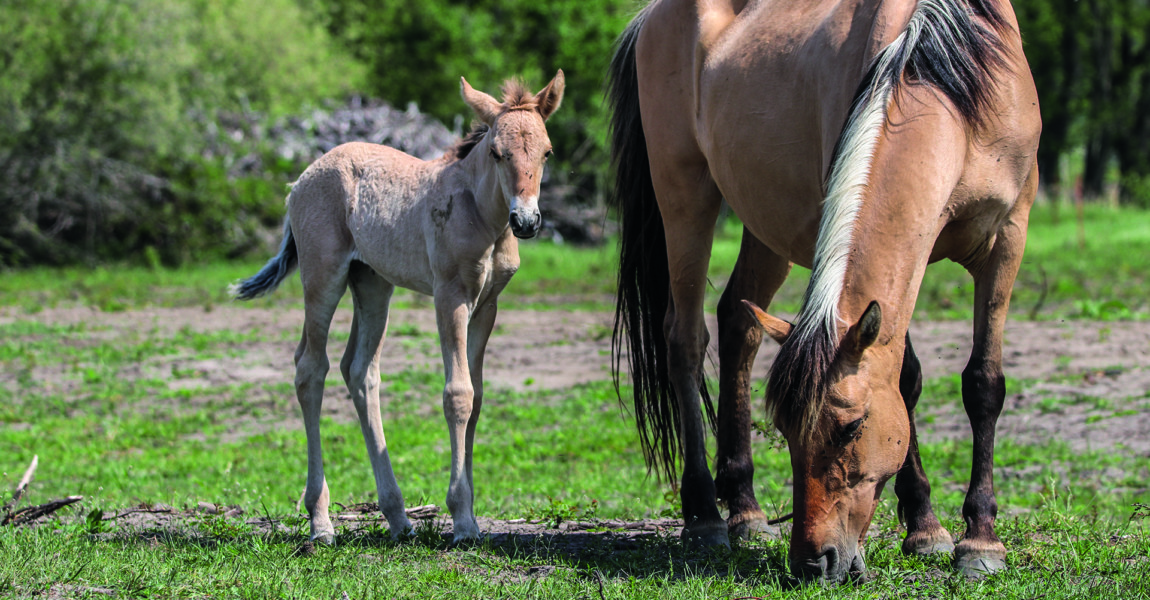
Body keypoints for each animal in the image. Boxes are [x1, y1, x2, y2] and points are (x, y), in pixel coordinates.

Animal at [231, 71, 563, 542]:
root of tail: (299, 181)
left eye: (547, 151)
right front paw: (463, 520)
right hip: (322, 277)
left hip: (372, 283)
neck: (484, 217)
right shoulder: (450, 296)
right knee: (310, 368)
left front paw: (470, 514)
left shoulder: (488, 305)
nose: (527, 221)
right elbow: (457, 394)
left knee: (359, 370)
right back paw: (321, 521)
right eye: (497, 153)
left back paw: (398, 516)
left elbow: (477, 396)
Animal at [611, 0, 1044, 581]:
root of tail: (650, 18)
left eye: (852, 426)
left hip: (764, 226)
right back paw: (704, 514)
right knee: (685, 341)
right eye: (789, 431)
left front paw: (979, 539)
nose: (814, 562)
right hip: (684, 197)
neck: (951, 75)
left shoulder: (1006, 239)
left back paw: (745, 509)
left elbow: (983, 384)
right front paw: (928, 526)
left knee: (738, 323)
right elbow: (905, 380)